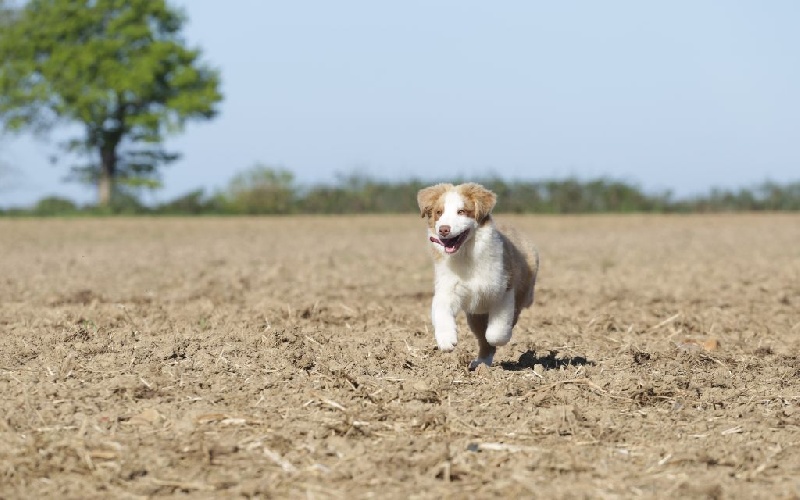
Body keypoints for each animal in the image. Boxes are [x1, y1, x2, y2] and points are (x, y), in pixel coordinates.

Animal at [418, 182, 536, 370]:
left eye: (461, 211)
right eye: (439, 212)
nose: (444, 230)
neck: (466, 255)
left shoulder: (503, 290)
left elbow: (496, 331)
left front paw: (501, 337)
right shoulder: (448, 289)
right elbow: (441, 311)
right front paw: (446, 340)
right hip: (475, 316)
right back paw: (481, 363)